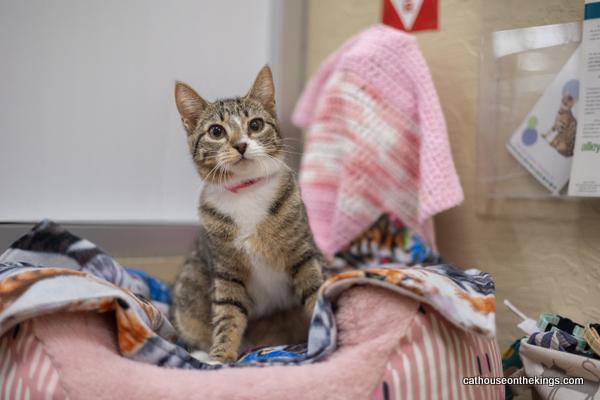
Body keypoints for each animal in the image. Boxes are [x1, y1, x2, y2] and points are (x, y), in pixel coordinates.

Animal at [171, 65, 326, 362]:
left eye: (255, 125)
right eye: (216, 131)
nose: (241, 145)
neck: (246, 192)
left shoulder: (303, 253)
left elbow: (315, 290)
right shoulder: (226, 271)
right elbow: (228, 313)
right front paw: (219, 357)